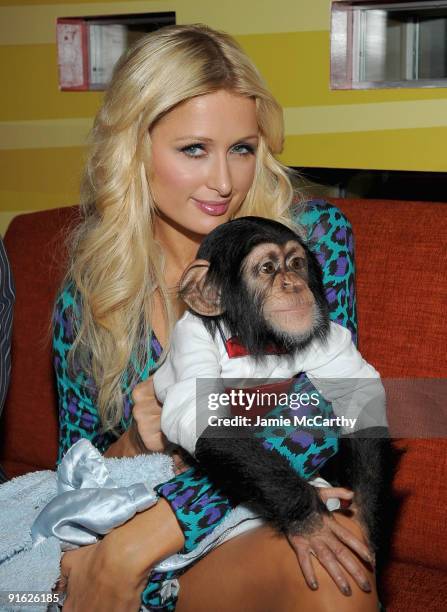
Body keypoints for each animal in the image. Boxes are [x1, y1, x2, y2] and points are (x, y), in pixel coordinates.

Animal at [154, 215, 392, 592]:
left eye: (295, 264)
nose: (292, 284)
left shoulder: (326, 340)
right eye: (267, 268)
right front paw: (310, 521)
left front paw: (366, 520)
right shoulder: (191, 339)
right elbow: (201, 416)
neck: (260, 344)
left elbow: (358, 394)